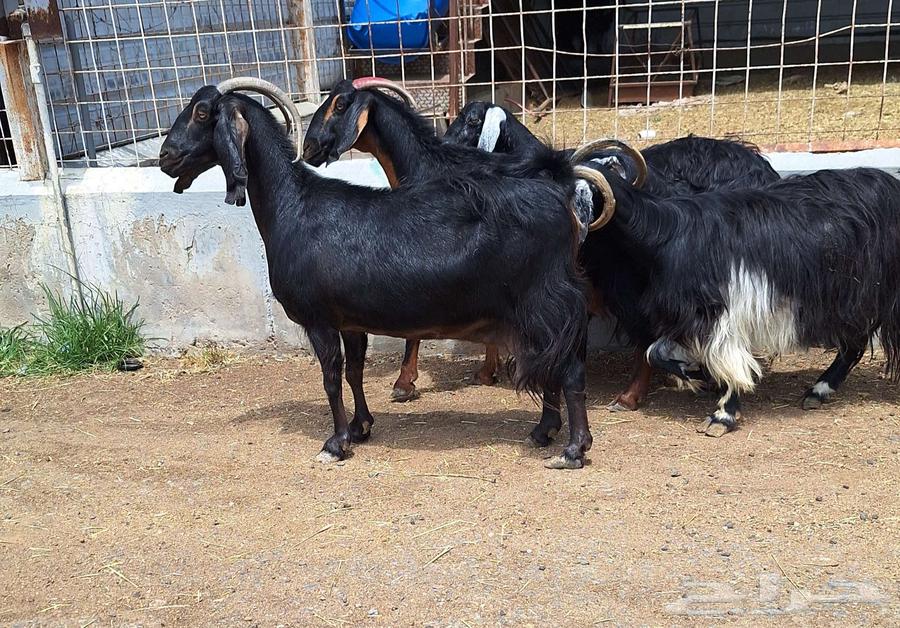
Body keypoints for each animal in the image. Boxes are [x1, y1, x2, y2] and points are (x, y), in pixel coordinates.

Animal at [159, 78, 596, 468]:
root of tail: (563, 194)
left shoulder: (318, 318)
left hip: (545, 301)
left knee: (570, 369)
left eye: (202, 113)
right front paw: (360, 427)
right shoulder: (350, 320)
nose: (165, 156)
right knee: (551, 363)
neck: (293, 207)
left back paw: (573, 449)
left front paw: (335, 443)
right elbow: (354, 372)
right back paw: (543, 431)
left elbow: (330, 377)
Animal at [578, 140, 900, 435]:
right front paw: (693, 374)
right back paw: (818, 391)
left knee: (856, 341)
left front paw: (722, 415)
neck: (667, 232)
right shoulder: (686, 315)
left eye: (583, 193)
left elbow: (725, 356)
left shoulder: (726, 310)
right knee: (855, 341)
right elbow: (656, 352)